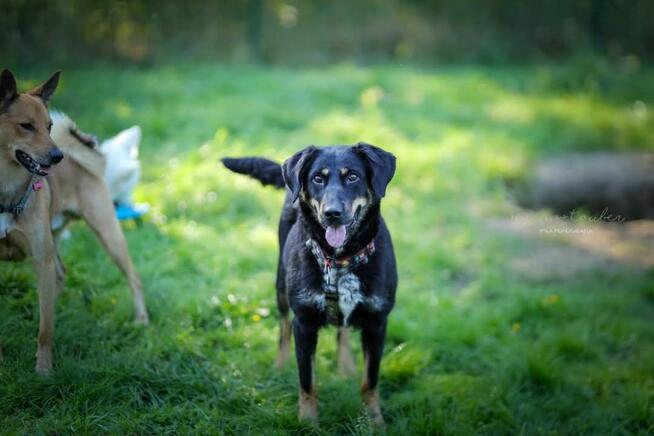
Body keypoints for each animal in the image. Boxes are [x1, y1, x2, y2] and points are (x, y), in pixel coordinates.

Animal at [0, 71, 149, 374]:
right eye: (26, 126)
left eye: (49, 126)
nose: (57, 157)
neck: (7, 191)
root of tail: (79, 156)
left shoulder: (40, 259)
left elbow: (44, 331)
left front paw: (44, 372)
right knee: (59, 276)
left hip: (108, 234)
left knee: (134, 277)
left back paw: (140, 320)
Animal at [223, 143, 398, 426]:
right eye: (317, 178)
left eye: (353, 177)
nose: (332, 214)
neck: (340, 260)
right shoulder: (303, 324)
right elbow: (307, 381)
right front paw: (308, 422)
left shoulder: (377, 323)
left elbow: (370, 382)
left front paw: (374, 421)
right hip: (281, 287)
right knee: (283, 328)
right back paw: (280, 366)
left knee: (342, 330)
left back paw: (345, 366)